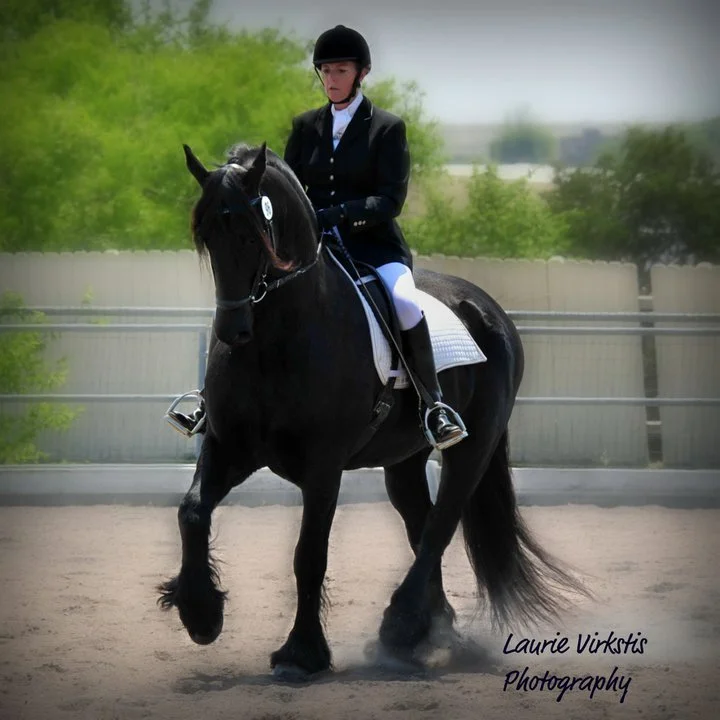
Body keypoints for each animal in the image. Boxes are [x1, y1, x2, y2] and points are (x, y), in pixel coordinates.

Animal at [158, 141, 587, 680]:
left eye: (251, 233)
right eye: (207, 236)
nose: (233, 330)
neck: (277, 340)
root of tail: (488, 308)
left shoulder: (323, 467)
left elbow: (309, 555)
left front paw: (301, 653)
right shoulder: (228, 446)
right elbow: (192, 511)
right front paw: (200, 614)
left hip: (473, 447)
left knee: (441, 525)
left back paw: (400, 628)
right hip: (403, 460)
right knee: (422, 524)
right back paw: (430, 629)